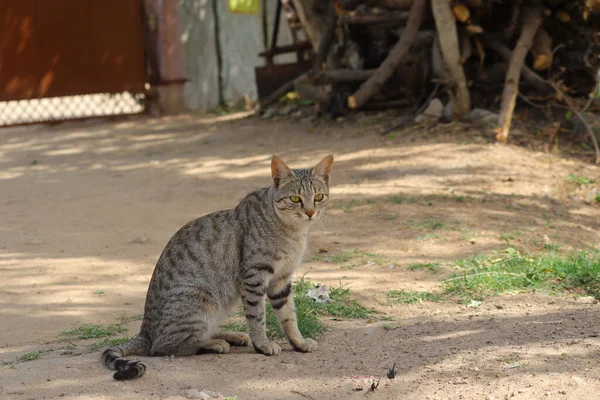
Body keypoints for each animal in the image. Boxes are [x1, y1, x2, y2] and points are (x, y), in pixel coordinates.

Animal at [99, 155, 332, 380]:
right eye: (295, 199)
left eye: (318, 197)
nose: (310, 212)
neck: (292, 232)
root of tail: (144, 332)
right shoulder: (254, 276)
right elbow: (257, 316)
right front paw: (263, 345)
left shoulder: (281, 279)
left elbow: (288, 316)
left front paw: (299, 342)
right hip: (201, 298)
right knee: (163, 346)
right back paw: (214, 344)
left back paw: (231, 336)